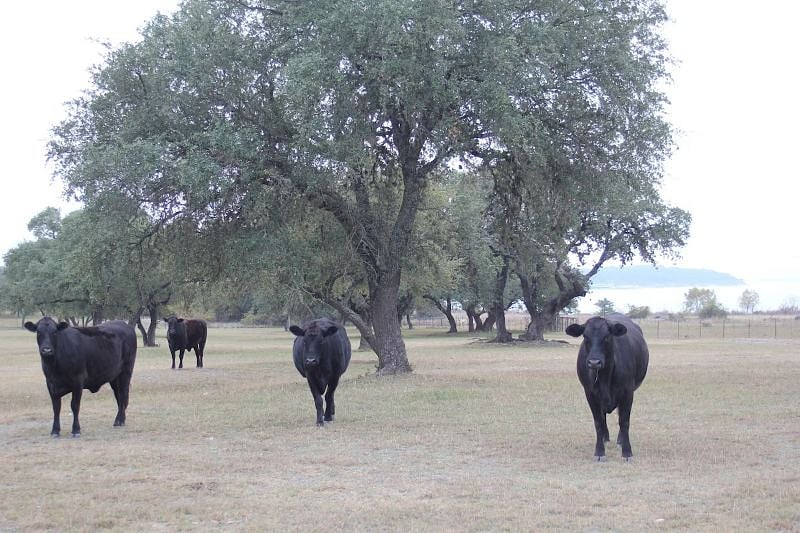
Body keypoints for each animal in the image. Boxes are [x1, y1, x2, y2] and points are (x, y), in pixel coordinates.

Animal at [566, 313, 649, 462]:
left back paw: (620, 440)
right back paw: (604, 438)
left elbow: (624, 421)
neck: (605, 376)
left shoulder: (628, 392)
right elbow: (598, 421)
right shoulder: (590, 394)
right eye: (585, 336)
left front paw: (627, 452)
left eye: (606, 336)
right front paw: (599, 452)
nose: (594, 362)